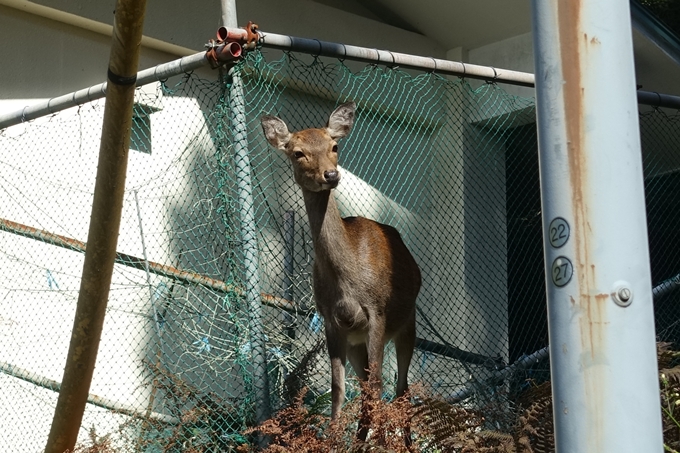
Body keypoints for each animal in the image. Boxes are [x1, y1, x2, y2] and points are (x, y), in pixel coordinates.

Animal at [260, 101, 420, 442]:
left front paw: (372, 442)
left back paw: (402, 442)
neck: (348, 283)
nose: (331, 174)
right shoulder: (331, 320)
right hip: (357, 341)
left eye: (334, 146)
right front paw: (334, 438)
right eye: (298, 152)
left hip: (407, 323)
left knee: (401, 387)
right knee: (370, 385)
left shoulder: (377, 312)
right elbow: (338, 388)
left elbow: (378, 385)